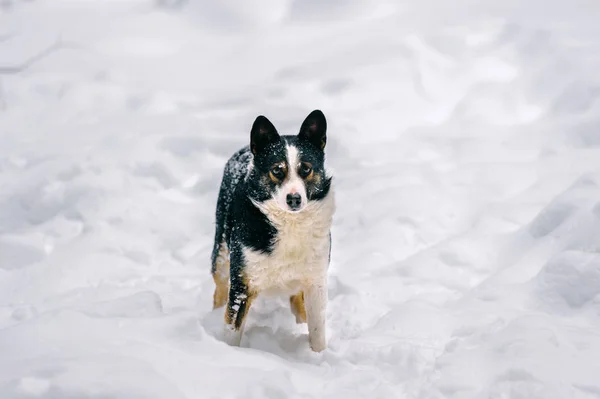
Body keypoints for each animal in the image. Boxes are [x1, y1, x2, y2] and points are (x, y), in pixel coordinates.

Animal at [211, 109, 336, 354]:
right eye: (277, 170)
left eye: (306, 169)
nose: (294, 199)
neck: (289, 224)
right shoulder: (242, 283)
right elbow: (232, 329)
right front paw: (228, 353)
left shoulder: (315, 280)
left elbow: (317, 330)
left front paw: (319, 356)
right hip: (220, 253)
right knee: (219, 288)